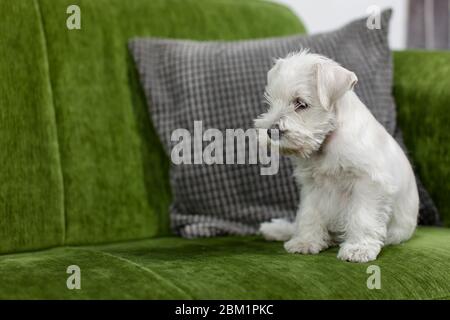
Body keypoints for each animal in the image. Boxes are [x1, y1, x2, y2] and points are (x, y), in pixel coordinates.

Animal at [255, 50, 420, 262]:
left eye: (301, 103)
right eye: (270, 102)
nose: (270, 131)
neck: (327, 139)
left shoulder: (369, 183)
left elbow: (362, 217)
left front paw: (358, 249)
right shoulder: (312, 186)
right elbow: (309, 213)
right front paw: (305, 242)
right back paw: (277, 229)